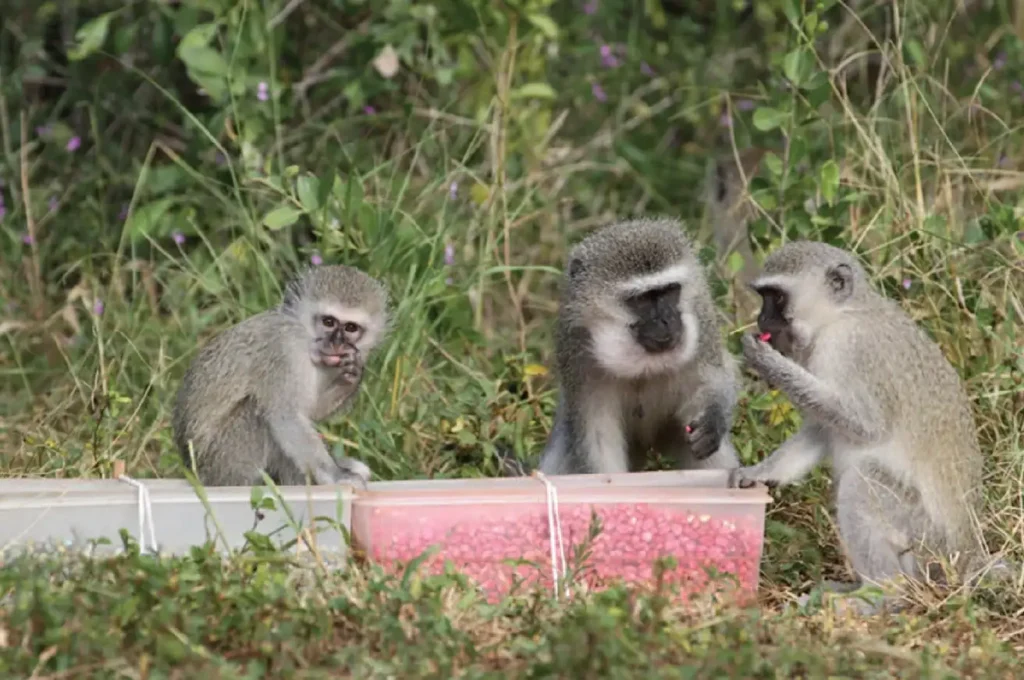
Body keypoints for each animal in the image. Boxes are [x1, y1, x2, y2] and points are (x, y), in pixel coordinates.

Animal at [172, 262, 387, 485]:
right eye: (328, 322)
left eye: (350, 327)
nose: (336, 343)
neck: (303, 337)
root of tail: (195, 472)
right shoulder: (282, 352)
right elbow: (286, 416)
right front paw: (336, 475)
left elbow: (310, 411)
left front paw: (351, 376)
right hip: (223, 461)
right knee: (257, 410)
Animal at [540, 218, 741, 473]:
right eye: (642, 299)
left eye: (670, 291)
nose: (667, 321)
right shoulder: (575, 346)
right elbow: (598, 440)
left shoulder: (703, 317)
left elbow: (717, 376)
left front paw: (713, 418)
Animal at [733, 238, 1003, 602]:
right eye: (764, 297)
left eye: (776, 298)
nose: (761, 318)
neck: (841, 315)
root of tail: (967, 560)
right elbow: (823, 429)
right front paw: (758, 473)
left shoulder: (849, 349)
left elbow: (866, 426)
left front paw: (767, 362)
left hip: (926, 546)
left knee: (862, 482)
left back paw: (882, 595)